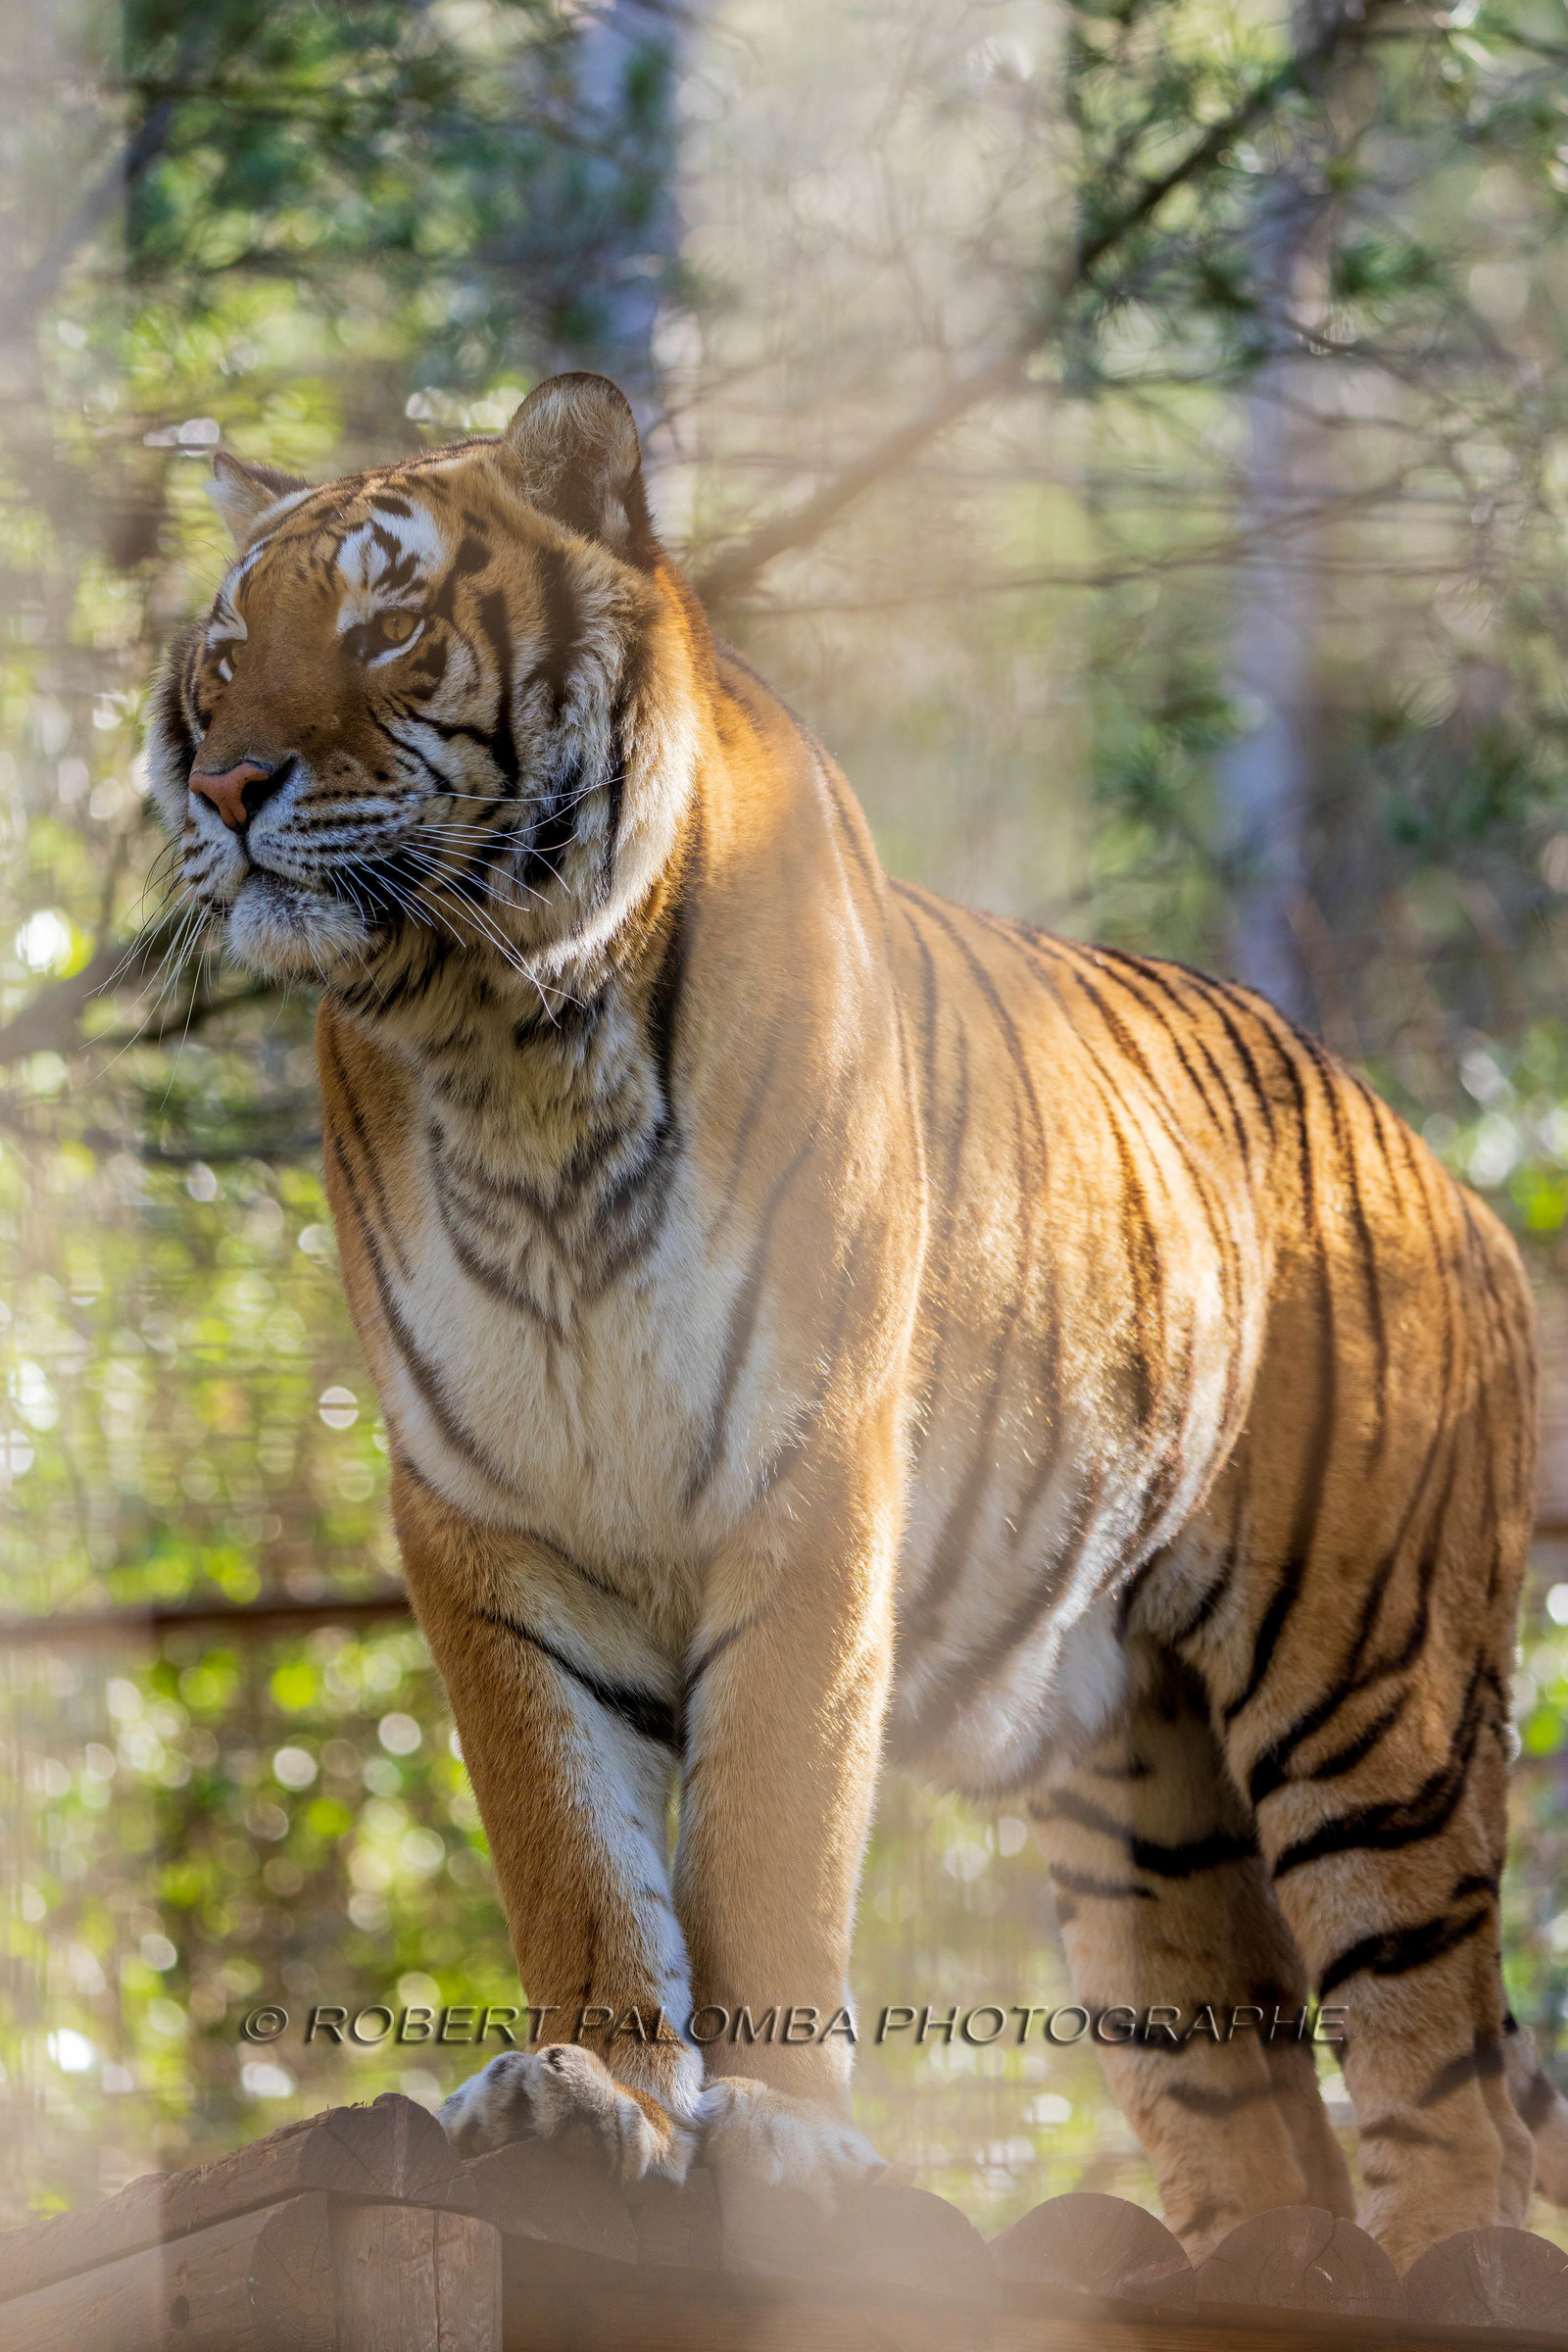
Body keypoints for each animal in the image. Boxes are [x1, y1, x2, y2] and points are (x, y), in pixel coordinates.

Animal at [144, 370, 1568, 2269]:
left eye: (389, 623)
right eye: (227, 655)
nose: (227, 780)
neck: (506, 1045)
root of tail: (1444, 1164)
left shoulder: (806, 1481)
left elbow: (768, 1831)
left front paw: (780, 2139)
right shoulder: (483, 1512)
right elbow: (571, 1849)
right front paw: (588, 2096)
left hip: (1371, 1708)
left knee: (1446, 2096)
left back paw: (1457, 2262)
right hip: (1147, 1830)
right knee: (1270, 2135)